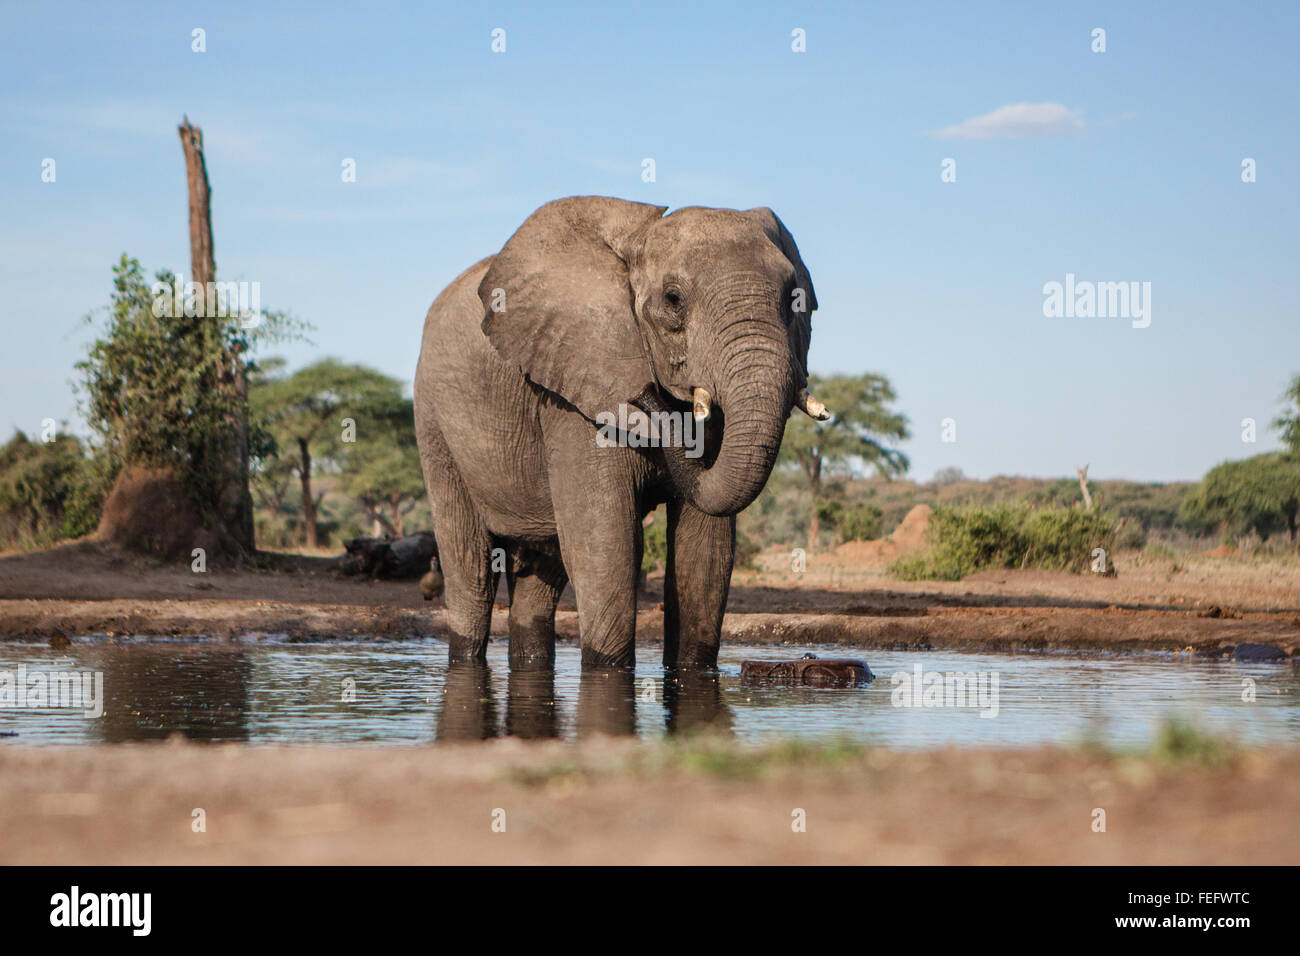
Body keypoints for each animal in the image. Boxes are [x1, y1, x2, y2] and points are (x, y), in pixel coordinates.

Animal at [410, 197, 826, 671]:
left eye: (795, 300)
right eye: (673, 299)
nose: (647, 393)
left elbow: (705, 551)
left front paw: (692, 672)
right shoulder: (577, 390)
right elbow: (606, 544)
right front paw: (607, 671)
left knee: (541, 575)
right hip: (434, 419)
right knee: (471, 568)